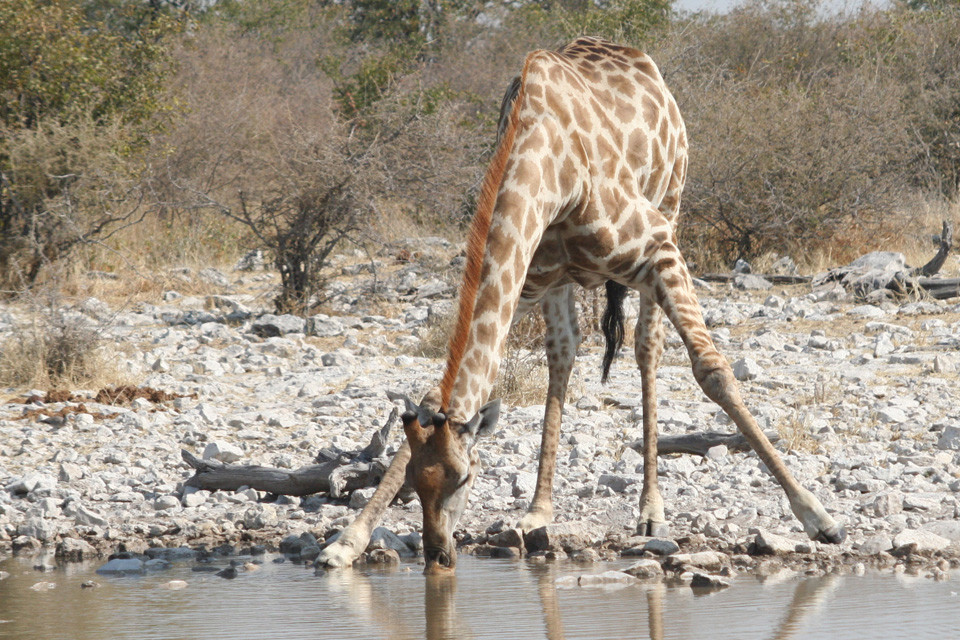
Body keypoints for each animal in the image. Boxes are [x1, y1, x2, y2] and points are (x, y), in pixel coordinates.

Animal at [316, 36, 848, 576]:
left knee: (647, 348)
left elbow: (712, 370)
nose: (439, 556)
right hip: (560, 283)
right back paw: (538, 511)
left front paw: (818, 517)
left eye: (464, 478)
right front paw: (346, 542)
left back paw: (652, 513)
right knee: (564, 354)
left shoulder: (658, 248)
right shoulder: (526, 280)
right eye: (417, 485)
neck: (550, 165)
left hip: (672, 209)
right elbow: (438, 395)